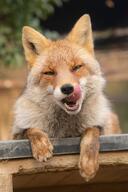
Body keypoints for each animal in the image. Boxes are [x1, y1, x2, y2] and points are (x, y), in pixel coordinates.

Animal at [12, 14, 121, 181]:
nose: (68, 88)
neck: (65, 127)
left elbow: (91, 132)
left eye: (76, 67)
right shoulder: (15, 135)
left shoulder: (102, 129)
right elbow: (31, 129)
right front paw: (42, 146)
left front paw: (88, 164)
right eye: (49, 73)